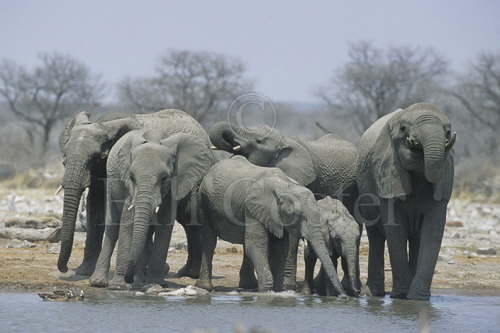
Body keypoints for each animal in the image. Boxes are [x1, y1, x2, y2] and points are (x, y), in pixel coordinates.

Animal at [89, 130, 214, 288]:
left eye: (164, 178)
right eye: (131, 177)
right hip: (111, 184)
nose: (128, 279)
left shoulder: (173, 185)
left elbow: (165, 222)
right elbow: (127, 221)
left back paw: (140, 279)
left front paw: (155, 283)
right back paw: (99, 282)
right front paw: (118, 286)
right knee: (112, 226)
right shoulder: (128, 188)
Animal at [195, 154, 348, 294]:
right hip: (204, 201)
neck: (286, 186)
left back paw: (247, 286)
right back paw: (206, 288)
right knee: (210, 240)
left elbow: (279, 248)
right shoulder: (253, 208)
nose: (345, 296)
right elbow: (256, 245)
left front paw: (278, 291)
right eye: (298, 215)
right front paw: (266, 291)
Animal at [356, 102, 458, 300]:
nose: (413, 143)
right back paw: (375, 294)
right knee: (376, 236)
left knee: (416, 238)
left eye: (448, 131)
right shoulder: (387, 174)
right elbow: (396, 229)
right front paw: (401, 296)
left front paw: (418, 299)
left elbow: (433, 231)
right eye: (403, 129)